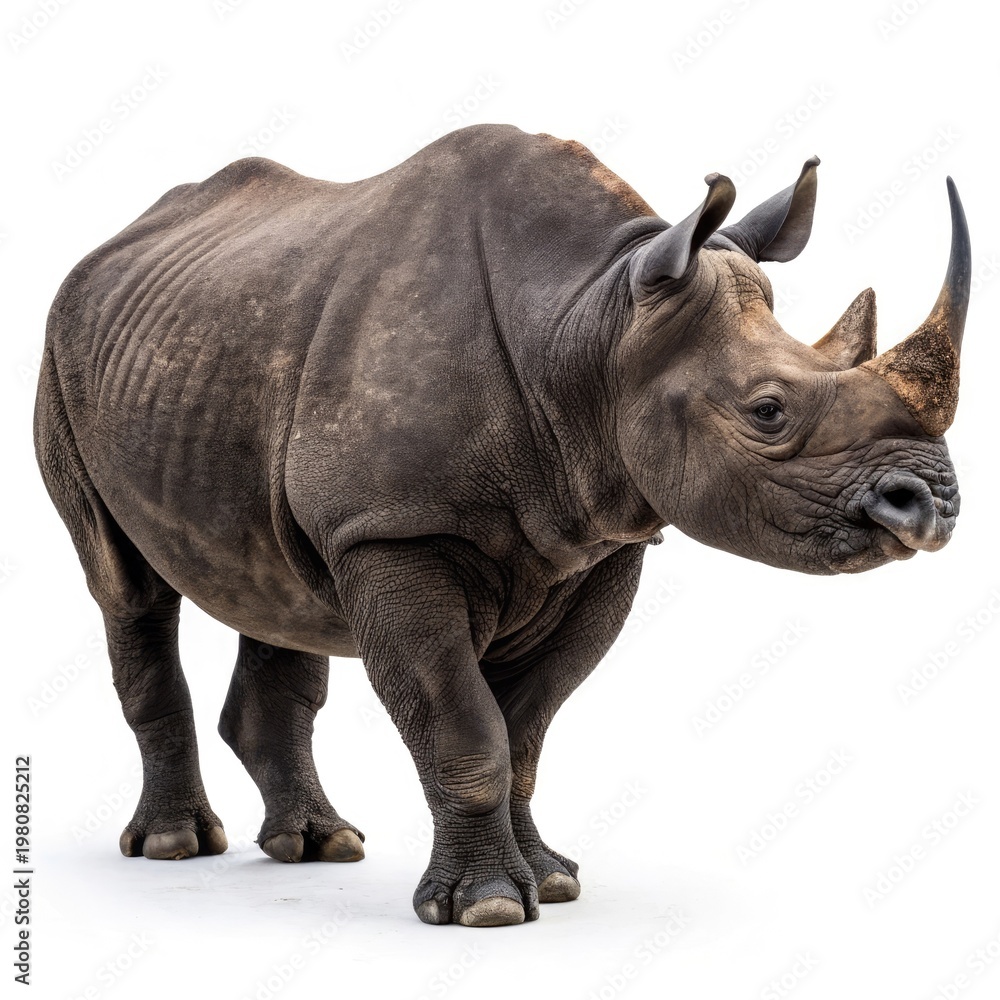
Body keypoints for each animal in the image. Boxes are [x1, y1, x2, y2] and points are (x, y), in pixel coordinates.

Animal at [34, 124, 969, 927]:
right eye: (768, 410)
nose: (931, 502)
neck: (593, 319)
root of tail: (109, 246)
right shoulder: (393, 530)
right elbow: (463, 721)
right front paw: (485, 908)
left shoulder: (602, 538)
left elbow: (524, 729)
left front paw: (549, 882)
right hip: (59, 355)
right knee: (126, 585)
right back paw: (175, 845)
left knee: (277, 587)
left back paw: (318, 846)